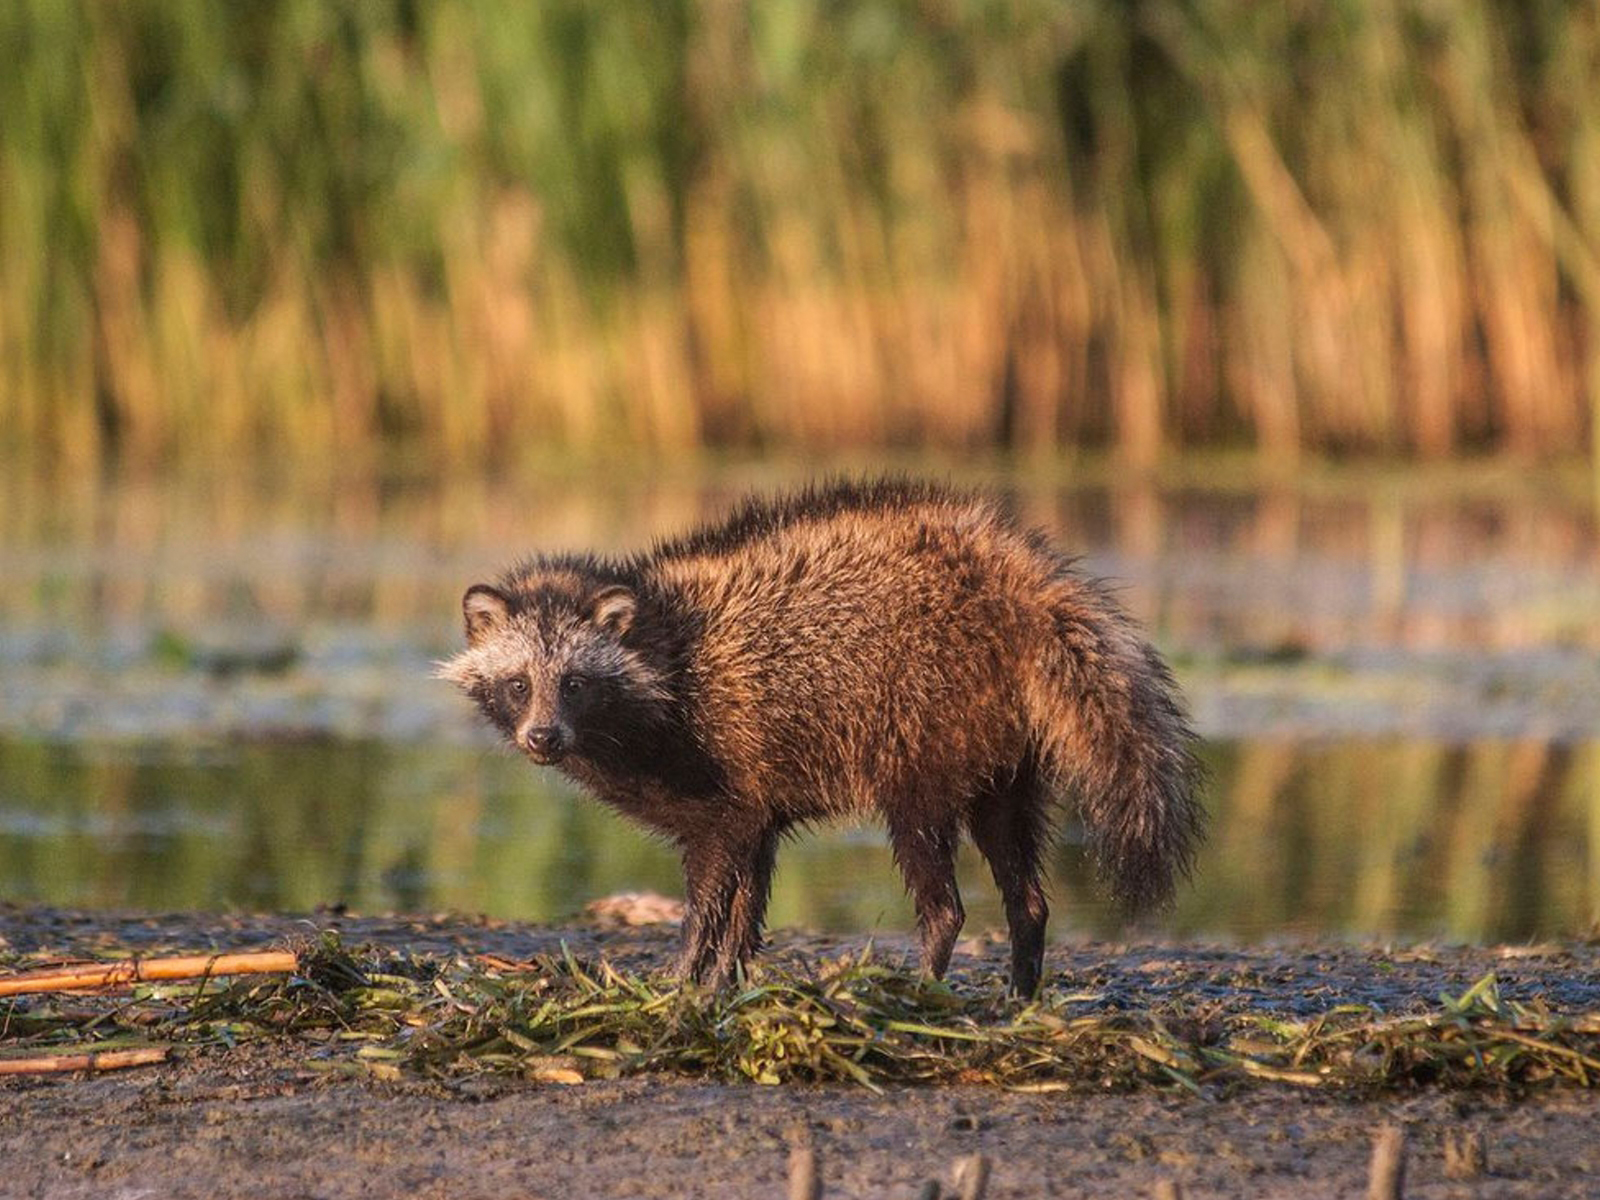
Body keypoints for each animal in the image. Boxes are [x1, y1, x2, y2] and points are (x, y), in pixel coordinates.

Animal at [438, 480, 1203, 998]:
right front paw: (723, 981)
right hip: (1003, 747)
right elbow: (745, 896)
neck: (660, 636)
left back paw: (925, 982)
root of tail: (1020, 581)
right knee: (1020, 873)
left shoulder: (716, 772)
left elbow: (711, 890)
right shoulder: (753, 796)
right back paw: (1020, 990)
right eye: (518, 683)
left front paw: (681, 976)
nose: (543, 737)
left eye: (572, 683)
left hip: (924, 717)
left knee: (938, 880)